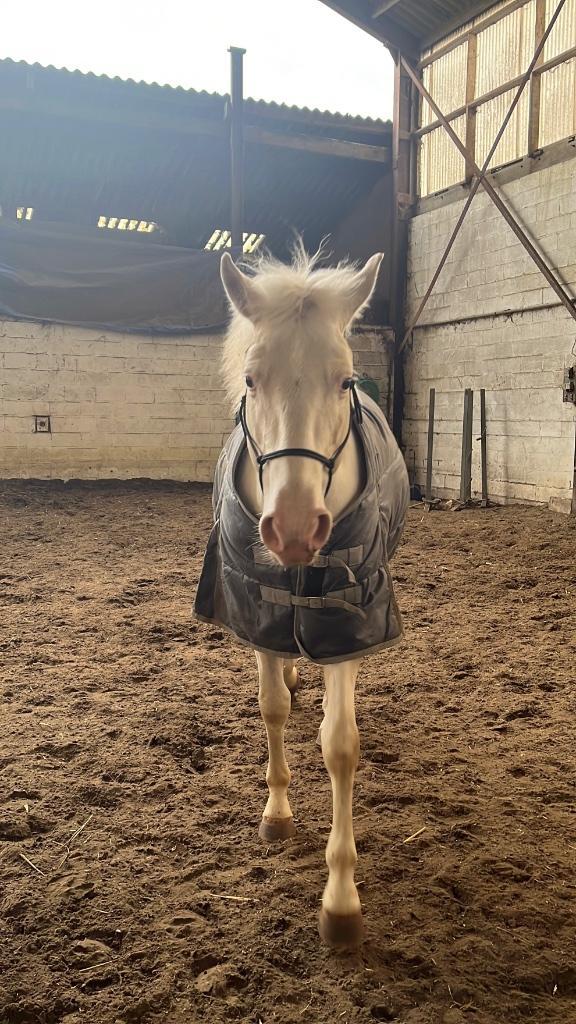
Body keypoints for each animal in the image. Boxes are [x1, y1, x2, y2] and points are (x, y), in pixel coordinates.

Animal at [195, 246, 409, 947]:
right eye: (251, 380)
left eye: (344, 382)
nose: (291, 529)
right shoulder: (256, 611)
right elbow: (272, 710)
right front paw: (278, 813)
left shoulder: (348, 621)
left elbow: (339, 744)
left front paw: (341, 900)